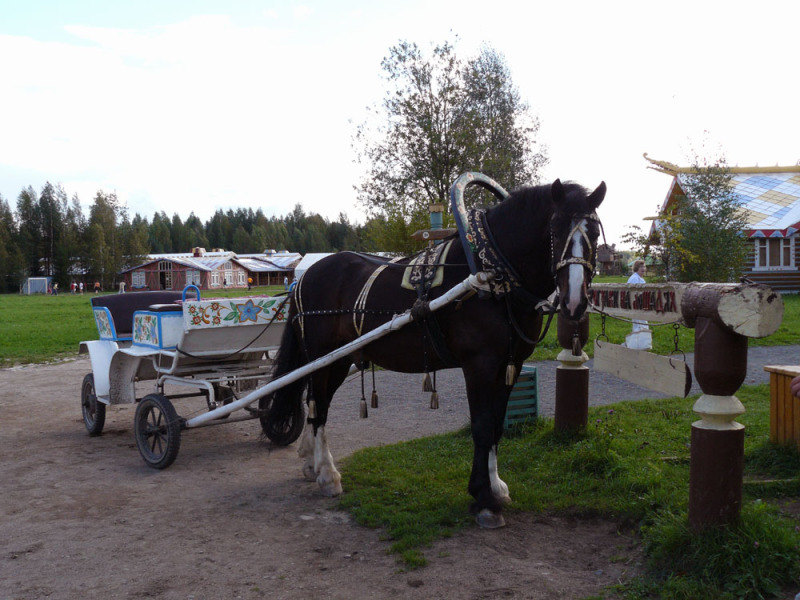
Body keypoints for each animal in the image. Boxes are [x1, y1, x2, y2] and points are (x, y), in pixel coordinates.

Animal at [266, 177, 604, 524]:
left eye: (594, 233)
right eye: (555, 230)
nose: (575, 302)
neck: (491, 274)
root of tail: (304, 276)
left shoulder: (511, 364)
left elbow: (497, 425)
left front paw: (496, 486)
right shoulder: (480, 365)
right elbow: (482, 426)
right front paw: (483, 498)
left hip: (339, 359)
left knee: (316, 402)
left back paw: (313, 464)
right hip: (323, 357)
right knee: (318, 405)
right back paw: (327, 474)